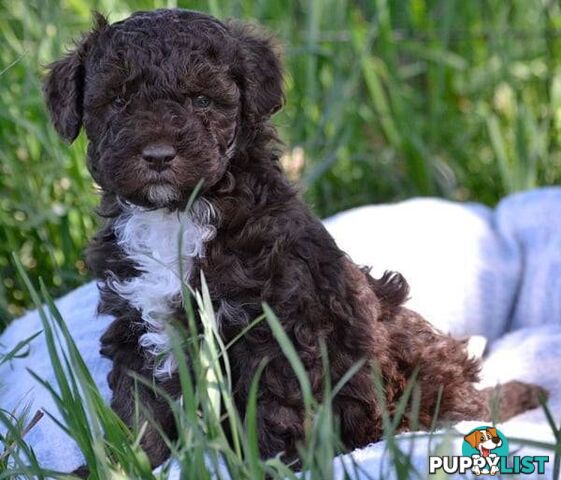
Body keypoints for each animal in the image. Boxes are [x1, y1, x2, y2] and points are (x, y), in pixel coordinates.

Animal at [43, 7, 548, 470]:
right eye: (119, 100)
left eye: (202, 101)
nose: (158, 155)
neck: (178, 214)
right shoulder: (136, 324)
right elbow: (139, 412)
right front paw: (118, 466)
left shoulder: (277, 330)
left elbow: (270, 409)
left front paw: (264, 466)